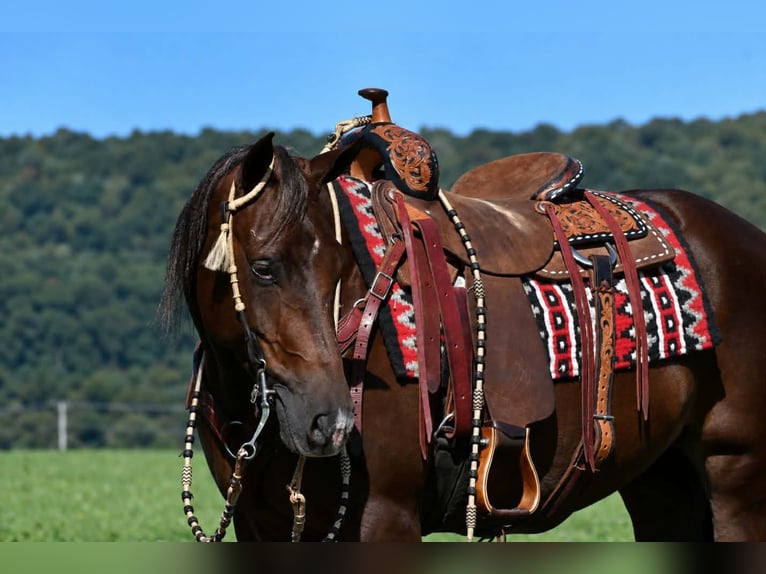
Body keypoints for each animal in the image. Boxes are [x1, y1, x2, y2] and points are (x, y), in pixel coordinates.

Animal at [159, 97, 766, 542]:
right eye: (263, 268)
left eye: (338, 266)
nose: (329, 420)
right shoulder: (258, 526)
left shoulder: (387, 517)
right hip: (662, 482)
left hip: (735, 472)